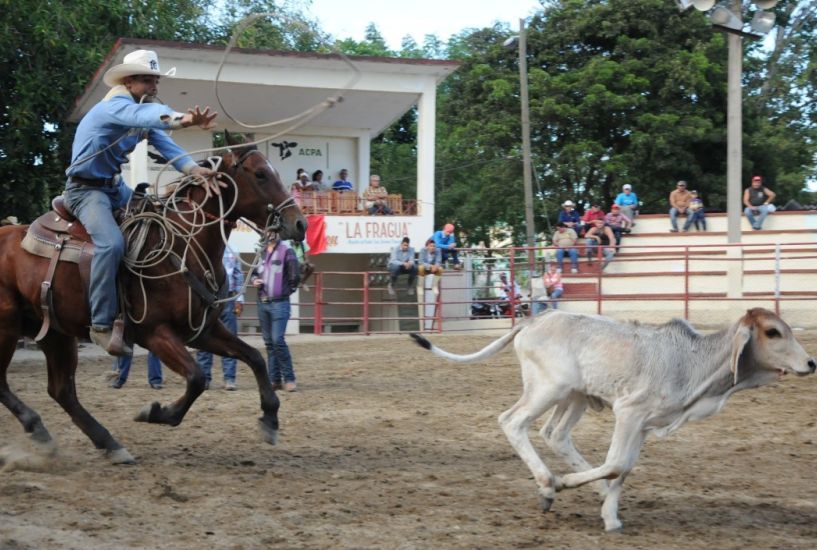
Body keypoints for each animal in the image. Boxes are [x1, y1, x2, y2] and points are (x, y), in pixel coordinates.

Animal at [0, 133, 306, 466]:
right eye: (260, 174)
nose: (299, 223)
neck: (186, 243)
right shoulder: (155, 333)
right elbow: (197, 378)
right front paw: (157, 412)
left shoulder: (203, 331)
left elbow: (254, 357)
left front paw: (270, 420)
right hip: (8, 329)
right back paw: (40, 428)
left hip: (55, 332)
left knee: (61, 391)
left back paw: (105, 442)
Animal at [412, 308, 812, 532]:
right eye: (773, 332)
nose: (811, 363)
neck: (692, 362)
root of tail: (532, 320)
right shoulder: (629, 412)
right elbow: (617, 463)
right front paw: (568, 485)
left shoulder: (643, 425)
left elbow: (623, 468)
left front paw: (611, 516)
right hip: (548, 389)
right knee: (512, 422)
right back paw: (548, 485)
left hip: (574, 397)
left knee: (555, 435)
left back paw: (587, 491)